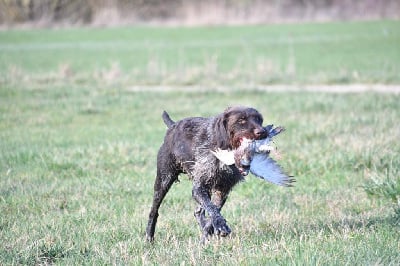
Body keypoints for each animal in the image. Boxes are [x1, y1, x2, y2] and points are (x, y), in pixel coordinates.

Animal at [145, 105, 268, 242]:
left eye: (259, 119)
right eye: (241, 120)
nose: (262, 132)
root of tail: (173, 126)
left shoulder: (222, 190)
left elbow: (213, 210)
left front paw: (208, 232)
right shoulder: (199, 188)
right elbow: (212, 208)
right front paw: (218, 225)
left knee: (198, 211)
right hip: (163, 180)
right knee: (154, 210)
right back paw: (149, 236)